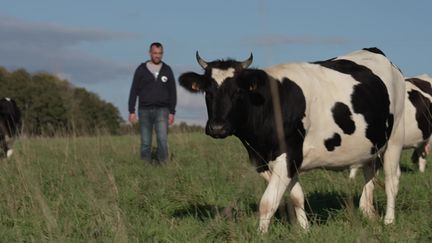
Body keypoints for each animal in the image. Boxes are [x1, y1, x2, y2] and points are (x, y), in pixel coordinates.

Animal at [179, 47, 404, 232]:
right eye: (208, 92)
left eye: (238, 92)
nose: (217, 127)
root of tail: (376, 51)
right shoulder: (266, 159)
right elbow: (296, 196)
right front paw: (305, 229)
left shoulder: (289, 154)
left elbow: (267, 202)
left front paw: (261, 235)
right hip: (372, 146)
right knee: (370, 175)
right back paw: (368, 214)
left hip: (394, 140)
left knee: (392, 181)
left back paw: (389, 221)